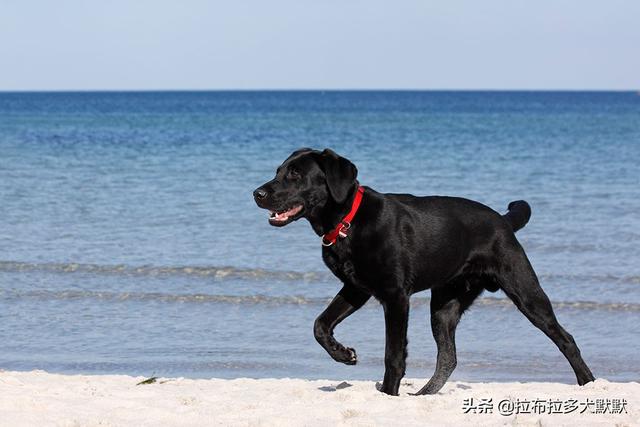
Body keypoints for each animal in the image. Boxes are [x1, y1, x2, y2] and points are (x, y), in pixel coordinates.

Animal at [252, 149, 592, 396]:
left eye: (295, 173)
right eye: (278, 170)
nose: (257, 193)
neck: (348, 221)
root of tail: (504, 221)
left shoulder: (395, 297)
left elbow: (393, 355)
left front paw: (388, 394)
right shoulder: (356, 288)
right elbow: (320, 325)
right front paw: (343, 354)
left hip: (525, 290)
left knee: (565, 338)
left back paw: (588, 382)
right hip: (444, 305)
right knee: (448, 357)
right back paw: (424, 395)